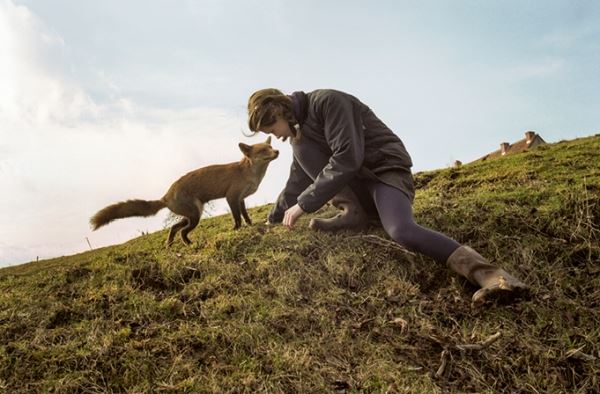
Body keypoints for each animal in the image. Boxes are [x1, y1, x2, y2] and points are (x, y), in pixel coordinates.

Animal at [89, 136, 278, 246]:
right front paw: (237, 230)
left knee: (174, 227)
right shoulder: (231, 197)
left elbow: (246, 215)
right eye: (263, 150)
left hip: (190, 215)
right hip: (195, 216)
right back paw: (189, 244)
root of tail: (165, 196)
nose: (277, 151)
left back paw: (170, 245)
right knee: (181, 231)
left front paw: (251, 225)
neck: (250, 175)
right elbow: (237, 218)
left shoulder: (241, 199)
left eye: (270, 147)